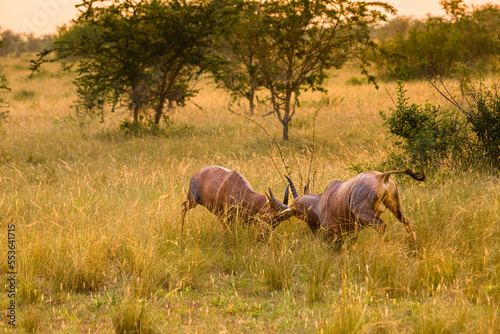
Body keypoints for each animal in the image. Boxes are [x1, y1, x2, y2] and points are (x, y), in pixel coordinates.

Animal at [270, 171, 426, 249]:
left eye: (297, 213)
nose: (314, 230)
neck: (323, 198)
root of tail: (381, 176)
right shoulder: (349, 232)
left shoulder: (332, 231)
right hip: (395, 208)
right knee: (406, 221)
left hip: (365, 214)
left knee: (381, 226)